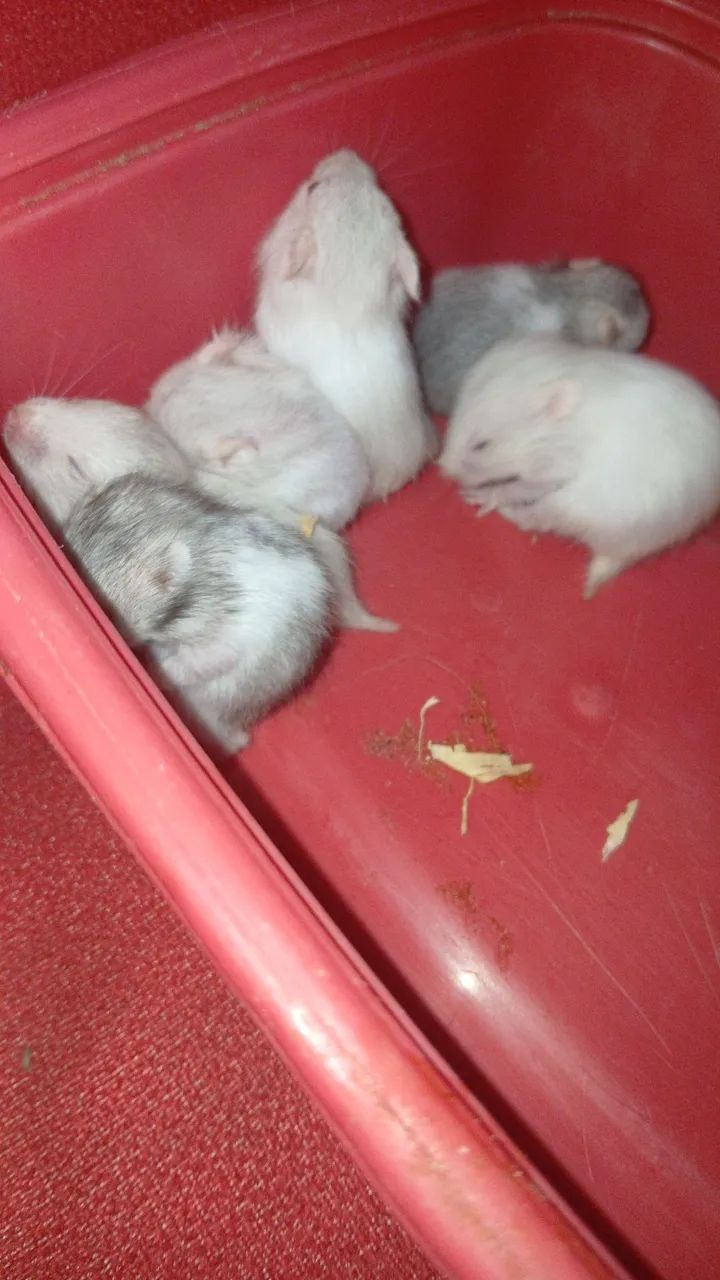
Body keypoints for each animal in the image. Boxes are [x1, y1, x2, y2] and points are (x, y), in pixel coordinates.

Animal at [440, 336, 720, 597]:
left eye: (482, 445)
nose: (442, 468)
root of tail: (620, 553)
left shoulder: (551, 472)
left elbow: (516, 488)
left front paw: (479, 495)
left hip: (565, 509)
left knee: (528, 521)